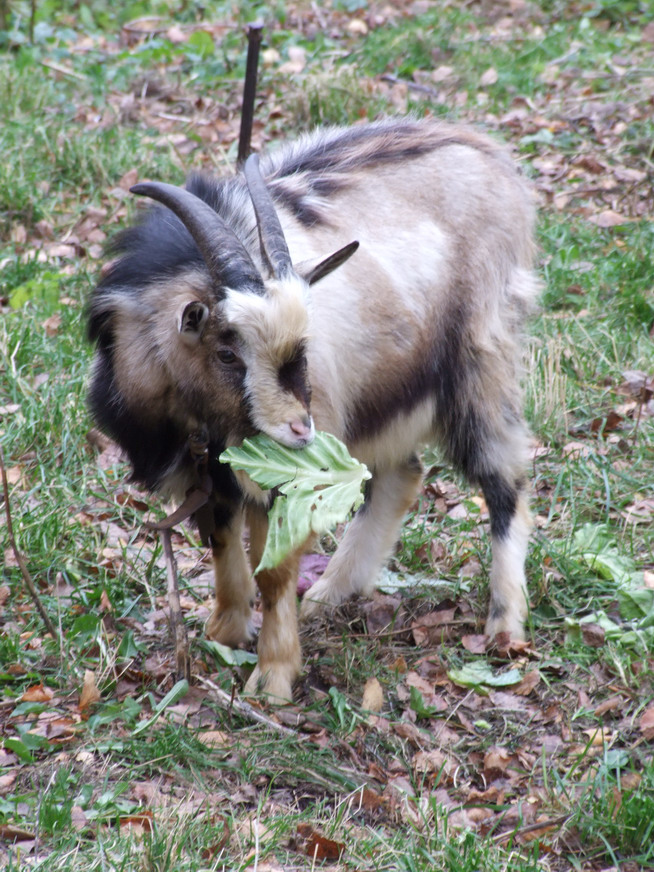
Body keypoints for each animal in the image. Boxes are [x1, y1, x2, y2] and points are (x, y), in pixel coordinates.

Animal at [88, 117, 538, 701]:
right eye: (227, 352)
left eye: (301, 346)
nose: (300, 433)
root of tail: (493, 160)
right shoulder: (209, 470)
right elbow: (222, 542)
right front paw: (226, 629)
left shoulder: (284, 477)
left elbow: (273, 571)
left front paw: (273, 676)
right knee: (401, 475)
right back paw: (328, 595)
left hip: (480, 364)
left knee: (505, 483)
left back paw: (505, 626)